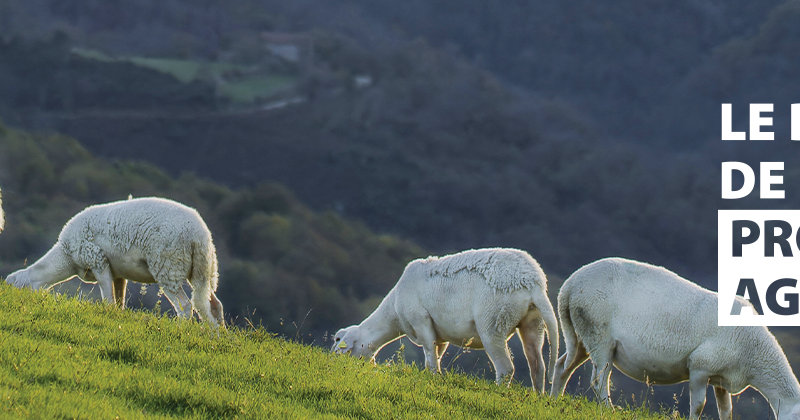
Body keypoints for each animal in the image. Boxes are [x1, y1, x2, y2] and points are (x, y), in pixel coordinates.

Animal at [6, 197, 225, 328]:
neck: (66, 256)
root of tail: (200, 235)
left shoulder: (97, 259)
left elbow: (108, 299)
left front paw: (107, 315)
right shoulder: (118, 273)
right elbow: (119, 302)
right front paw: (117, 318)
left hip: (167, 265)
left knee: (185, 306)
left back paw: (180, 331)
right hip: (201, 269)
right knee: (213, 304)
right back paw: (217, 336)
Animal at [328, 248, 560, 392]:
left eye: (339, 345)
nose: (332, 361)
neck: (393, 313)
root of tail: (533, 282)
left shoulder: (421, 320)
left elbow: (430, 355)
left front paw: (433, 377)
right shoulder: (440, 334)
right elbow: (436, 355)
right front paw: (436, 376)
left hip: (493, 320)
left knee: (506, 367)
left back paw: (498, 392)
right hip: (533, 322)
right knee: (537, 365)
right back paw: (537, 396)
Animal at [552, 256, 800, 420]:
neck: (755, 353)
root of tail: (568, 287)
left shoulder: (722, 378)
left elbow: (726, 411)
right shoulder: (700, 367)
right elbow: (699, 405)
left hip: (582, 335)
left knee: (563, 365)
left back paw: (553, 400)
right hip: (598, 333)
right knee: (599, 379)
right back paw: (608, 410)